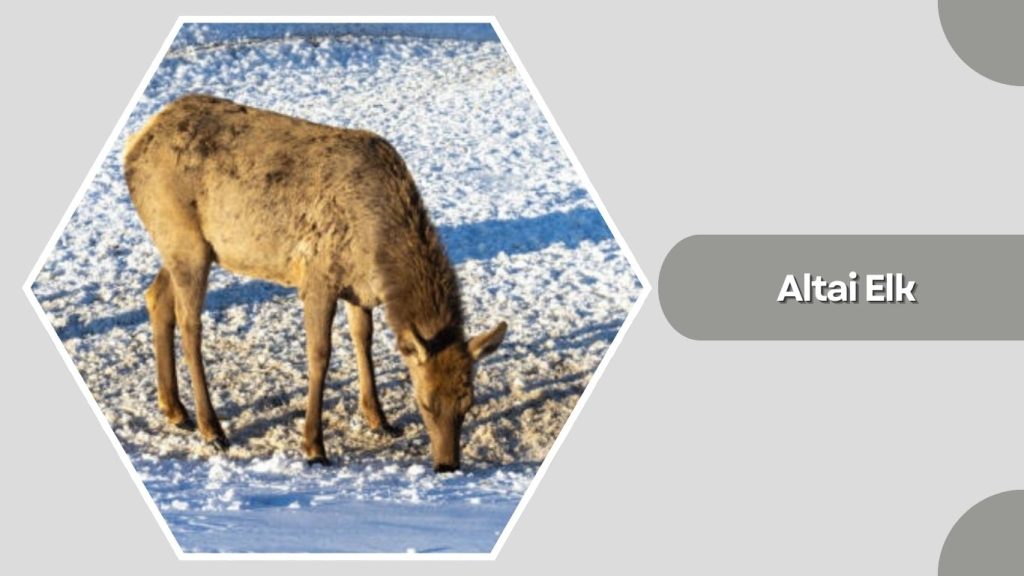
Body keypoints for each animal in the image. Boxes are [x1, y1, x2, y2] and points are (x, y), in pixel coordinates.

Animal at [123, 94, 507, 473]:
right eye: (425, 403)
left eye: (468, 403)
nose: (447, 465)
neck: (377, 249)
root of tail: (135, 144)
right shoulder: (318, 276)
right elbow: (320, 354)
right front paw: (314, 446)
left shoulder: (360, 290)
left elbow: (363, 341)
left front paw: (379, 420)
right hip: (185, 240)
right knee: (191, 324)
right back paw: (212, 429)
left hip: (185, 246)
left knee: (156, 296)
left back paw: (175, 410)